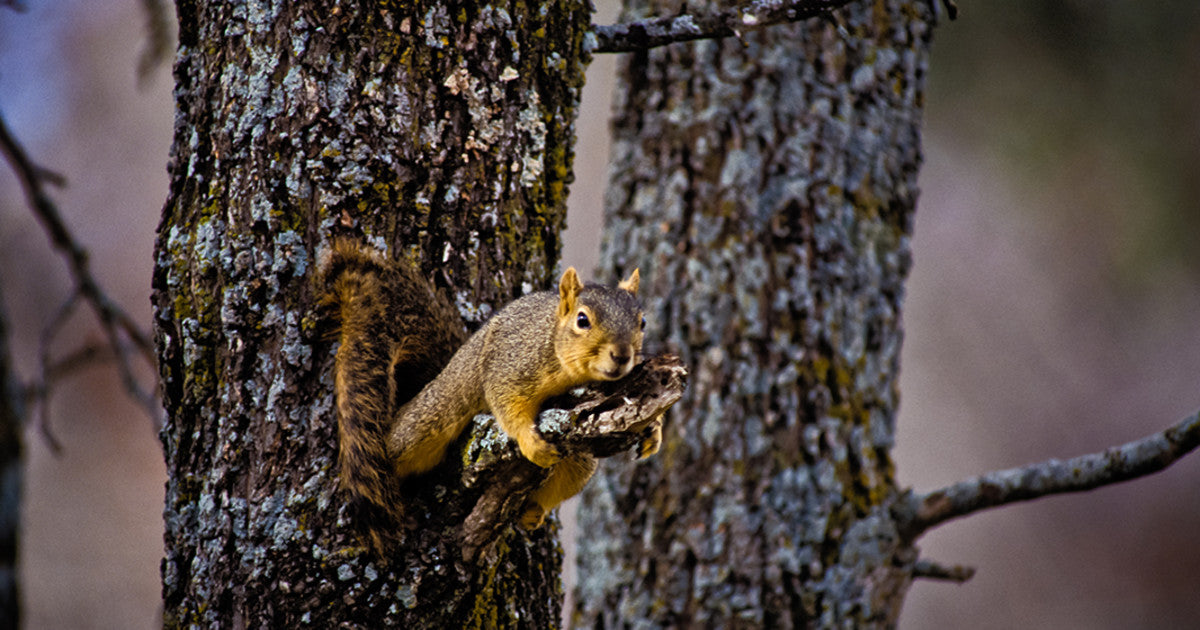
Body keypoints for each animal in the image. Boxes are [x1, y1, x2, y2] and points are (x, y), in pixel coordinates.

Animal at [318, 239, 655, 549]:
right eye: (582, 320)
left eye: (642, 322)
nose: (622, 355)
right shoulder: (510, 364)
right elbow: (507, 403)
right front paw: (531, 443)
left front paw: (654, 430)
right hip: (427, 420)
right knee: (397, 448)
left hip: (580, 462)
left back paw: (534, 511)